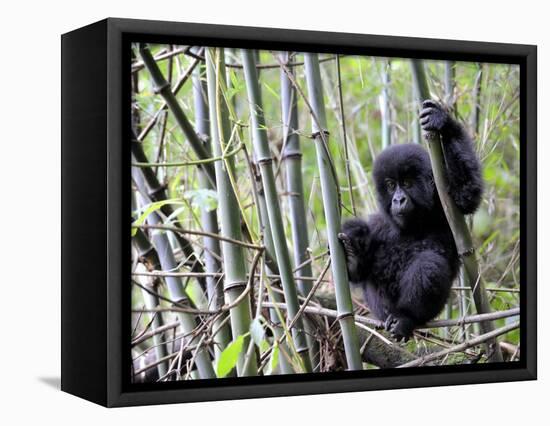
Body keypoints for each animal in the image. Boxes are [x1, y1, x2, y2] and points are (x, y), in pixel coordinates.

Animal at [340, 100, 484, 342]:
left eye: (407, 183)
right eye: (390, 185)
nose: (398, 199)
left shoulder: (446, 208)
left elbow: (466, 193)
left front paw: (443, 123)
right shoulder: (379, 223)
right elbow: (359, 272)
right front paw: (352, 255)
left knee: (428, 264)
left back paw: (405, 318)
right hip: (382, 312)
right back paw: (352, 257)